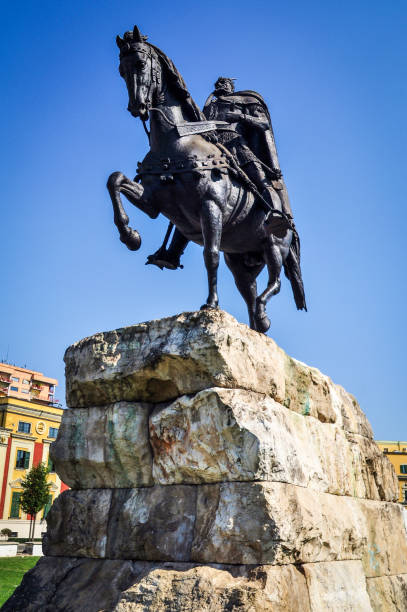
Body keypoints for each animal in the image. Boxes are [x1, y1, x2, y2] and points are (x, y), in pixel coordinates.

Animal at [107, 26, 304, 332]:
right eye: (120, 70)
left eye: (140, 64)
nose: (136, 107)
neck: (174, 143)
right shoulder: (153, 204)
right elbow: (114, 180)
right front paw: (130, 236)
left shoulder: (210, 206)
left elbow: (210, 255)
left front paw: (211, 304)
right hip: (242, 262)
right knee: (251, 295)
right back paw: (256, 324)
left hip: (275, 245)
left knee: (276, 282)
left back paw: (263, 311)